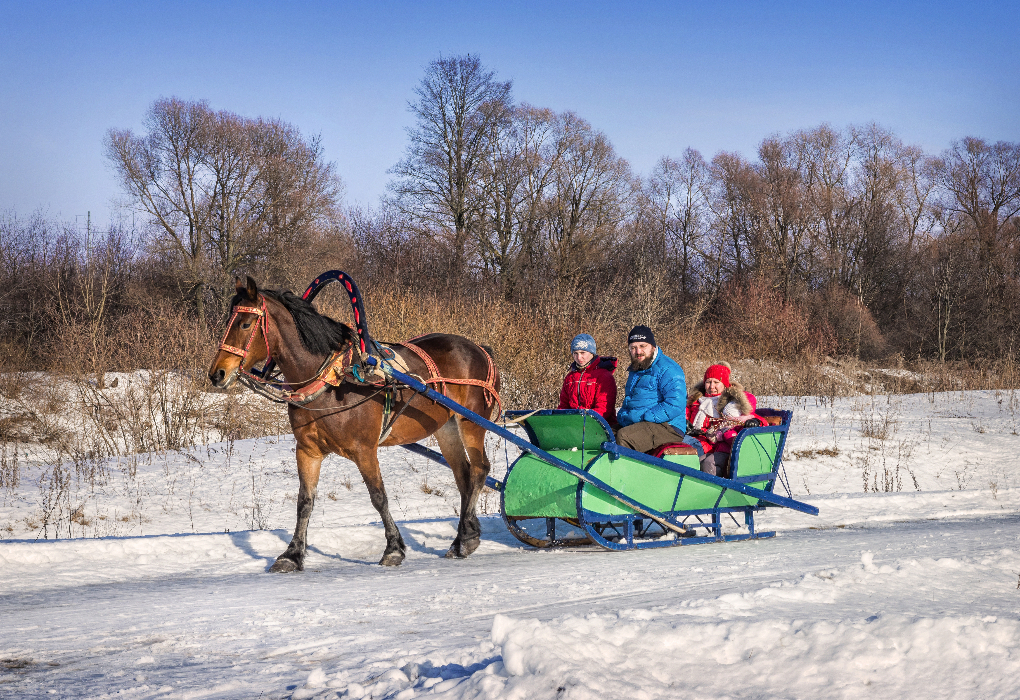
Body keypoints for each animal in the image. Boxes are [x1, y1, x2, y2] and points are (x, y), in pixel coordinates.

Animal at [205, 277, 499, 567]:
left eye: (245, 324)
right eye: (229, 321)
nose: (217, 373)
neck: (331, 380)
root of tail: (479, 349)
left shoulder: (364, 450)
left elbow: (378, 497)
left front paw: (393, 548)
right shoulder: (307, 451)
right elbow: (305, 501)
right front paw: (292, 553)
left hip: (471, 421)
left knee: (479, 469)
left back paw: (465, 538)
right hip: (446, 427)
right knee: (463, 475)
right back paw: (463, 536)